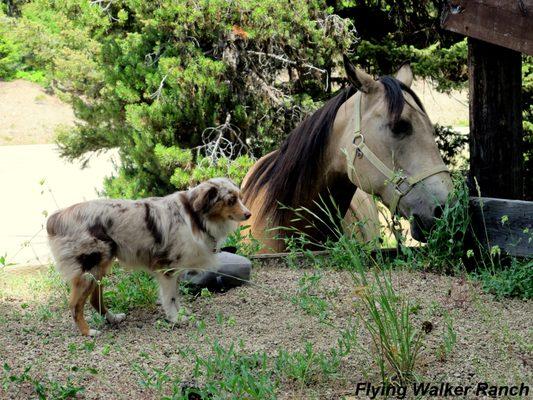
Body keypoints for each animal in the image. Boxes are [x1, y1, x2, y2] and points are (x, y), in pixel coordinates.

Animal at [46, 177, 250, 336]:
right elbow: (170, 297)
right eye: (231, 200)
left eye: (240, 197)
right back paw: (88, 332)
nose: (249, 214)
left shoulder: (175, 269)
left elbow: (176, 296)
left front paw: (180, 313)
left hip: (99, 268)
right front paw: (175, 318)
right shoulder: (166, 268)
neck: (195, 215)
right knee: (74, 305)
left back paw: (114, 319)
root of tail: (56, 218)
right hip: (89, 270)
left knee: (94, 300)